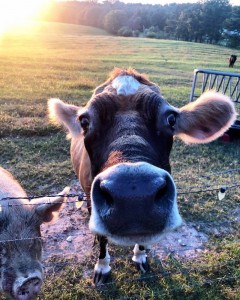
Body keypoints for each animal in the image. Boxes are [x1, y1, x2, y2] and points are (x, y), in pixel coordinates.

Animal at [47, 68, 236, 286]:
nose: (134, 196)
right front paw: (102, 267)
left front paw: (140, 256)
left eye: (171, 119)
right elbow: (102, 240)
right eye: (84, 121)